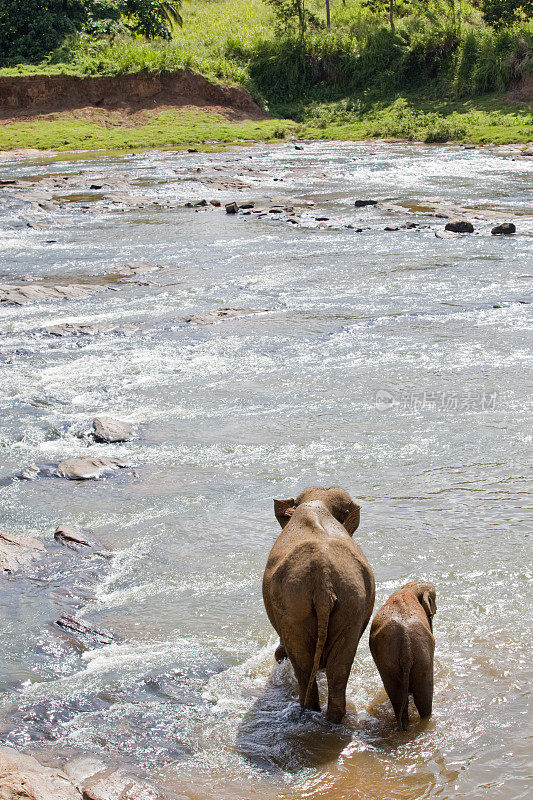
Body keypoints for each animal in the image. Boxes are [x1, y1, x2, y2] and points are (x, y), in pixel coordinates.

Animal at [262, 484, 374, 720]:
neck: (317, 502)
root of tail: (324, 581)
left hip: (294, 607)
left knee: (303, 665)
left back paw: (308, 710)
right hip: (352, 602)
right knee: (338, 668)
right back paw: (332, 718)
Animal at [368, 580, 438, 732]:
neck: (411, 587)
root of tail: (406, 647)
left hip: (397, 661)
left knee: (402, 697)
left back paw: (406, 725)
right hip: (419, 658)